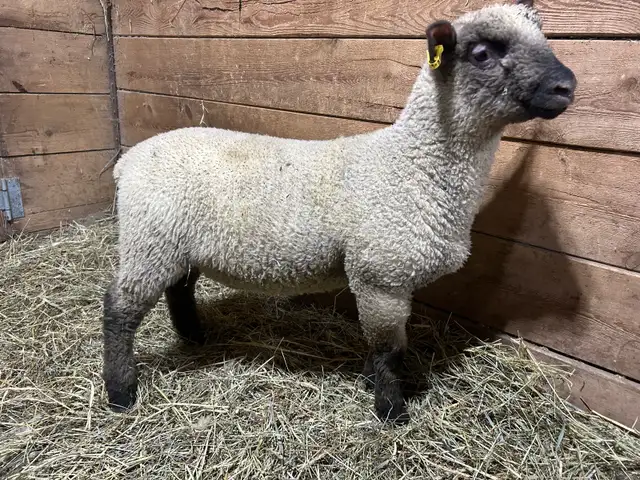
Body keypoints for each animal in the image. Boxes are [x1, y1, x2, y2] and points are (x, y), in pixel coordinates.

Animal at [103, 0, 576, 424]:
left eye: (544, 37)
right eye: (481, 53)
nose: (566, 86)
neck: (412, 165)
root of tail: (129, 161)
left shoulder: (389, 279)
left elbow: (388, 346)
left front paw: (372, 383)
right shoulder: (381, 275)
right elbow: (390, 349)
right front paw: (390, 411)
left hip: (177, 245)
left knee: (178, 291)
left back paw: (196, 339)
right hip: (150, 239)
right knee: (119, 308)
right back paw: (121, 393)